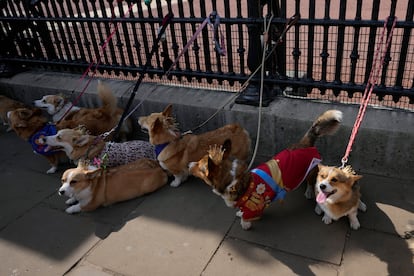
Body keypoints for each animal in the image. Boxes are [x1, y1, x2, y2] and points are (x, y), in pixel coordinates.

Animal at [189, 109, 342, 230]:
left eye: (200, 167)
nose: (189, 164)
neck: (233, 181)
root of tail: (305, 143)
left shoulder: (255, 204)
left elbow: (246, 217)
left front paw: (245, 224)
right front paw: (240, 213)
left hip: (311, 171)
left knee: (311, 183)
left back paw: (310, 193)